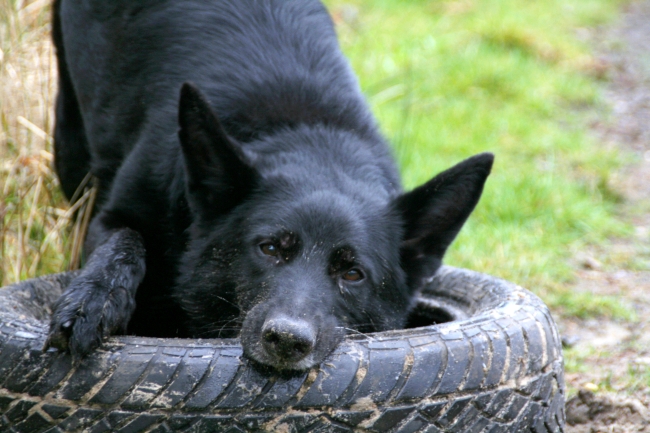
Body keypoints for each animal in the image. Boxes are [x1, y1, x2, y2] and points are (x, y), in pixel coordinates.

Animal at [46, 0, 492, 372]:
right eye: (271, 248)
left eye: (353, 273)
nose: (287, 341)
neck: (310, 137)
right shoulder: (115, 214)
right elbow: (125, 240)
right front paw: (91, 302)